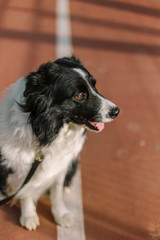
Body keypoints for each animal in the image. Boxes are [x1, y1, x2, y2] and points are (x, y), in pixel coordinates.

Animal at [0, 56, 119, 231]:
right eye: (80, 95)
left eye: (94, 86)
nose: (116, 111)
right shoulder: (22, 167)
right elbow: (26, 192)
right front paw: (29, 216)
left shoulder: (60, 164)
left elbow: (56, 193)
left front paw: (61, 214)